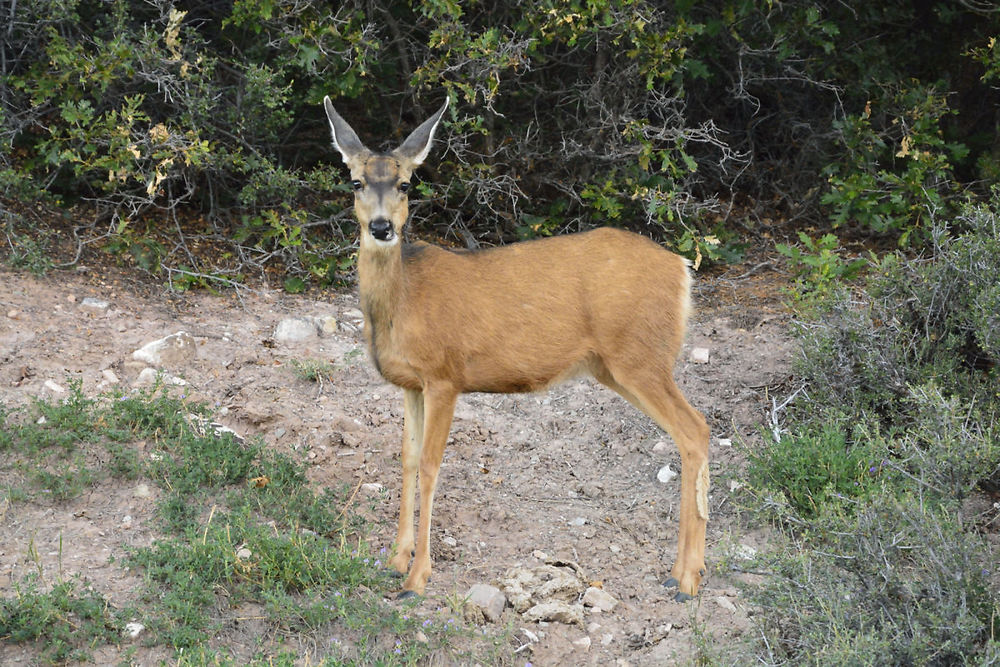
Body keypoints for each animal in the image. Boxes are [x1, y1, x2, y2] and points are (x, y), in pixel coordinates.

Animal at [322, 95, 712, 604]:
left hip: (642, 356)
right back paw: (683, 573)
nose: (382, 227)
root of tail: (682, 268)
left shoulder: (445, 375)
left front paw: (417, 578)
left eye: (406, 183)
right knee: (690, 434)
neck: (403, 302)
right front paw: (393, 561)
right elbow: (406, 459)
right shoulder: (410, 384)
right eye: (356, 181)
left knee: (696, 430)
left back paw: (686, 579)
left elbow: (430, 464)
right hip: (615, 367)